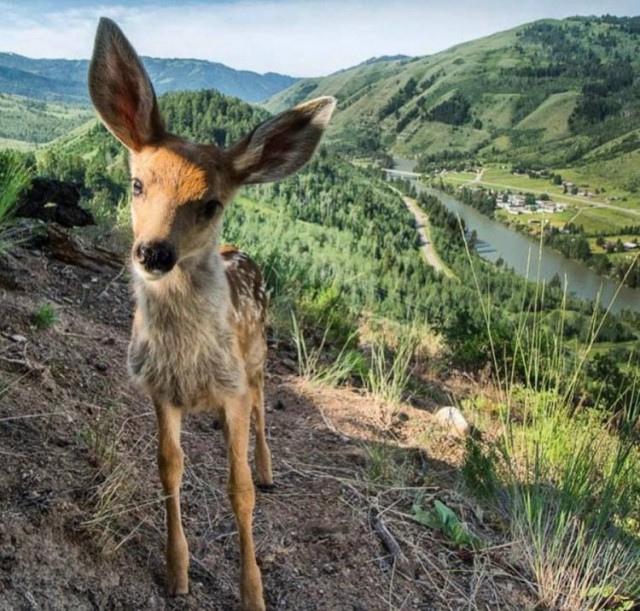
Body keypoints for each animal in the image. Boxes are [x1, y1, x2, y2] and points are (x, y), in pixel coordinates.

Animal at [88, 16, 338, 608]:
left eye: (211, 203)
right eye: (137, 184)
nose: (154, 252)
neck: (188, 364)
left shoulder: (233, 388)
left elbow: (239, 490)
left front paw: (253, 591)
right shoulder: (159, 390)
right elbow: (168, 470)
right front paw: (176, 572)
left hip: (259, 354)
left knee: (266, 408)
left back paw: (268, 468)